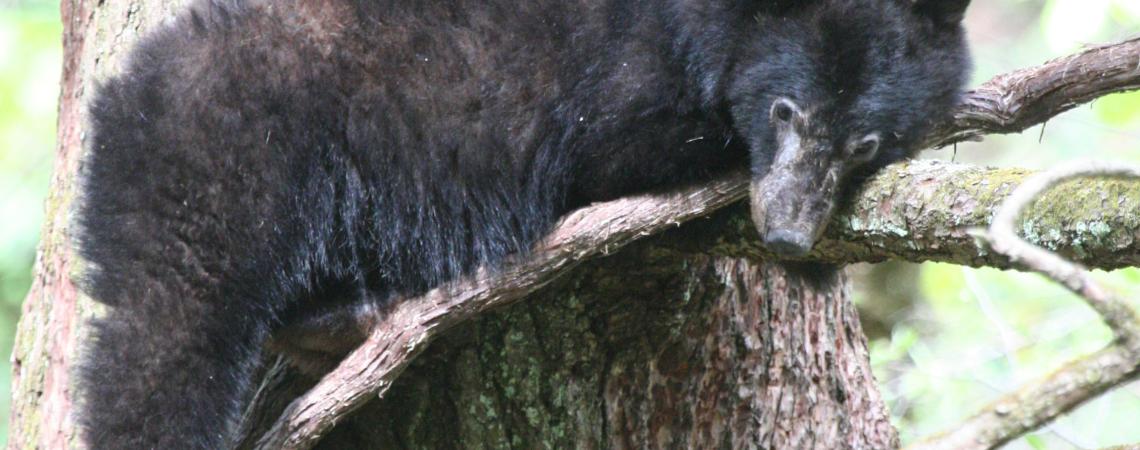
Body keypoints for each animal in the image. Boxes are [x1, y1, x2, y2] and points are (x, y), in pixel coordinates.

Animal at [78, 0, 971, 446]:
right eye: (786, 109)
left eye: (866, 142)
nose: (788, 232)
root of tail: (121, 101)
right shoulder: (617, 96)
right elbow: (639, 168)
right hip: (220, 184)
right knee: (159, 354)